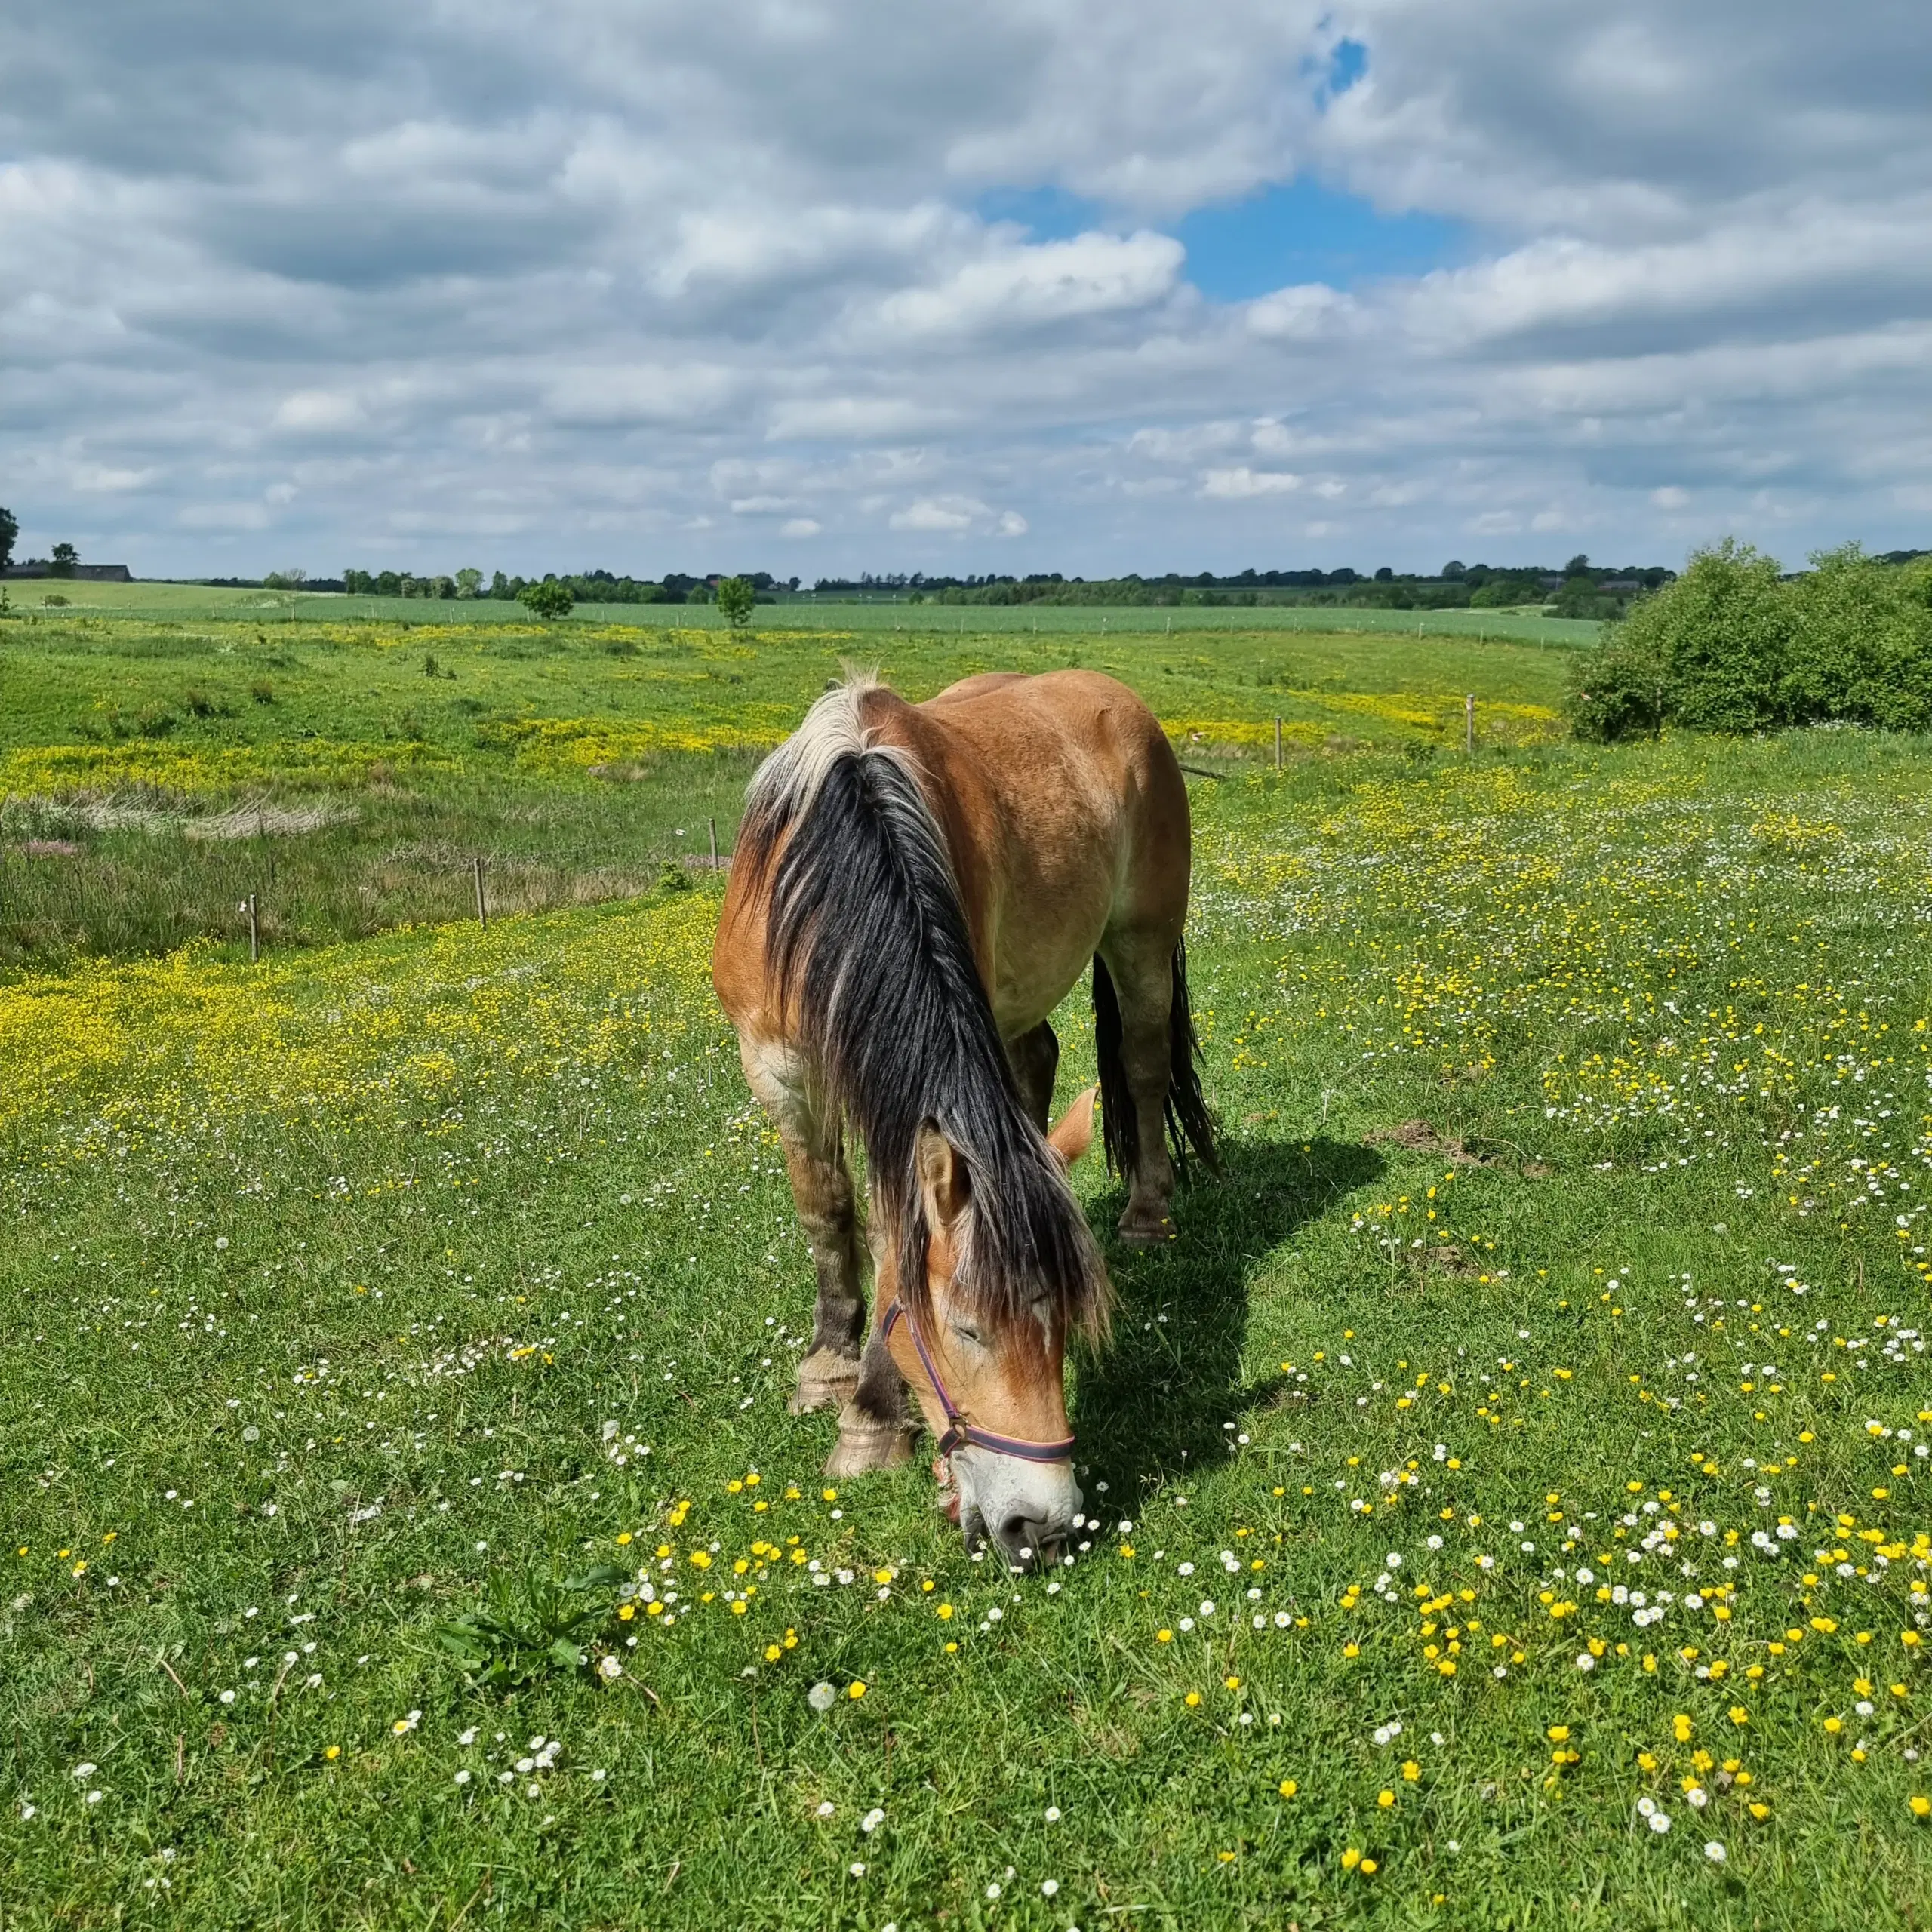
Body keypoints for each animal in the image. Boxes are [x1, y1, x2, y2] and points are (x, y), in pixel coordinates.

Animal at [711, 672, 1213, 1576]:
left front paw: (871, 1419)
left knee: (1144, 1062)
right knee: (1041, 1060)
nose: (1042, 1527)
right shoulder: (777, 1070)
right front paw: (829, 1369)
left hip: (1141, 938)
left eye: (1064, 1324)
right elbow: (827, 1214)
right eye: (967, 1329)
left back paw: (1147, 1214)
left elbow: (888, 1241)